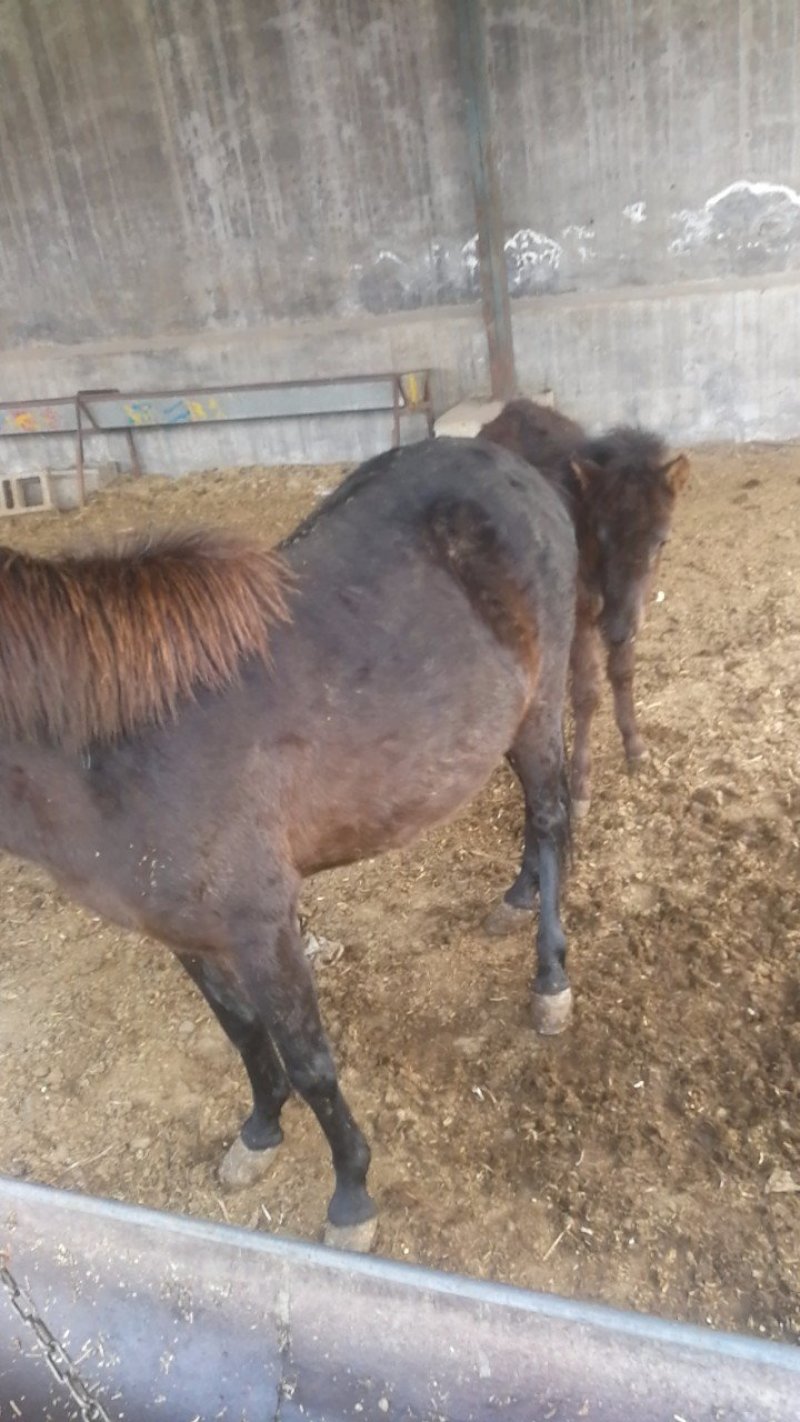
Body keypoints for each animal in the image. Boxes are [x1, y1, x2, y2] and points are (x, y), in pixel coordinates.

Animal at [0, 436, 577, 1251]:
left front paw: (352, 1197)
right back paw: (516, 899)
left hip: (542, 702)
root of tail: (513, 464)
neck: (118, 747)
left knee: (553, 816)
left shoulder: (263, 925)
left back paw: (551, 981)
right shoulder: (185, 934)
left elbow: (310, 1061)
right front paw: (260, 1133)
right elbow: (243, 1032)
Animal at [479, 399, 689, 845]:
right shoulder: (580, 616)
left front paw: (635, 748)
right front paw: (579, 788)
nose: (617, 629)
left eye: (661, 539)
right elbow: (588, 693)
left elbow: (622, 673)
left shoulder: (628, 612)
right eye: (603, 533)